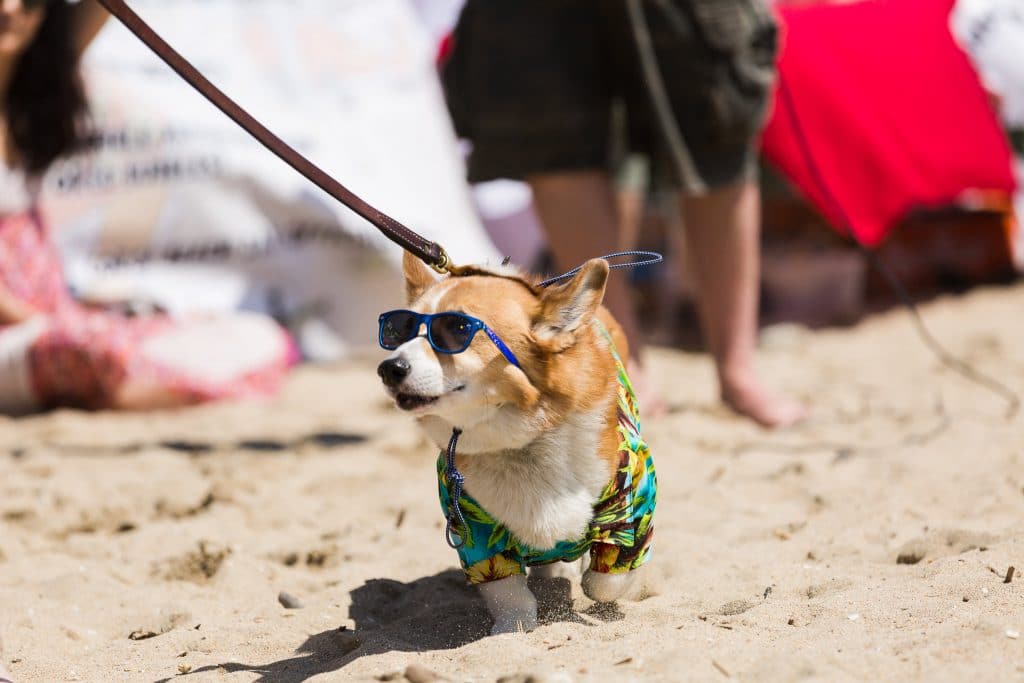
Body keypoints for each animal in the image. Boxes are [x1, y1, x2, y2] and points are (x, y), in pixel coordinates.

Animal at [378, 253, 655, 638]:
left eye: (456, 329)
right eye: (398, 333)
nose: (389, 368)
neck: (520, 442)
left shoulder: (632, 499)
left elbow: (606, 579)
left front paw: (602, 582)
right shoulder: (474, 529)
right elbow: (508, 592)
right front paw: (513, 627)